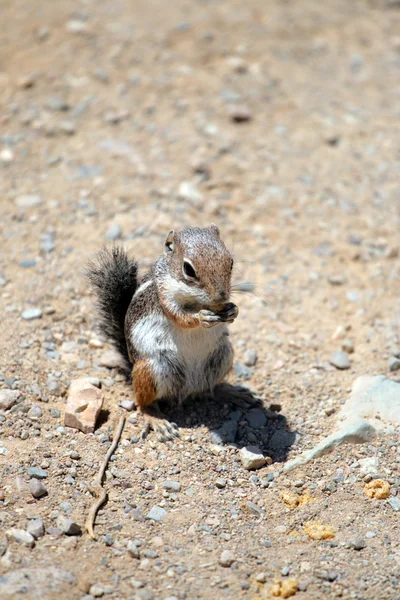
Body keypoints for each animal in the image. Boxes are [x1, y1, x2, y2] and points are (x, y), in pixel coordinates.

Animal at [87, 225, 241, 440]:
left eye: (231, 262)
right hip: (152, 369)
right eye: (188, 269)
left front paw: (233, 310)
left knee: (208, 390)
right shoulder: (164, 296)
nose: (221, 296)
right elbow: (182, 318)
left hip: (223, 356)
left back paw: (231, 393)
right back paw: (157, 420)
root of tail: (188, 389)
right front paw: (202, 317)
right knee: (143, 403)